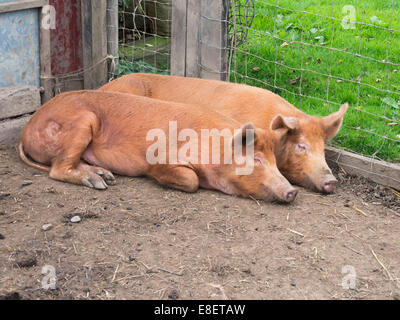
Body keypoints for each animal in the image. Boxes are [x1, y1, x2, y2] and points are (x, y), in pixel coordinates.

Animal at [19, 90, 300, 202]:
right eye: (257, 160)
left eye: (275, 162)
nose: (293, 191)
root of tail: (26, 130)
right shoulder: (163, 158)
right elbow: (191, 180)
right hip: (80, 124)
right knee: (57, 169)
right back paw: (99, 183)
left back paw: (106, 176)